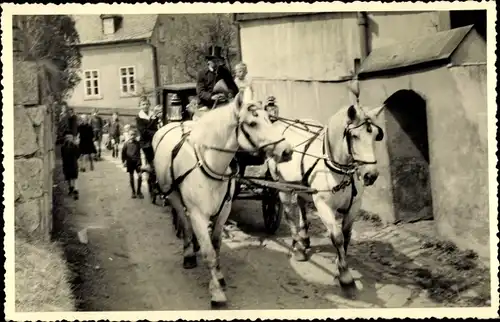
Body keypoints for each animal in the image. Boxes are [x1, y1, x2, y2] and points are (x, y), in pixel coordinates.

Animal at [151, 85, 292, 306]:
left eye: (269, 119)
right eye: (252, 123)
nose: (286, 151)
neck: (210, 163)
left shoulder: (224, 209)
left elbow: (216, 245)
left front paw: (218, 276)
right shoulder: (198, 214)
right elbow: (208, 251)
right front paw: (216, 292)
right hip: (173, 195)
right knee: (184, 222)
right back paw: (188, 253)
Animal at [268, 104, 384, 294]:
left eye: (376, 135)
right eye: (354, 136)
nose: (371, 175)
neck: (339, 170)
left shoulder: (354, 205)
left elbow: (346, 235)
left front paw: (339, 266)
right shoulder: (323, 205)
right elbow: (337, 237)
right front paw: (345, 276)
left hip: (302, 187)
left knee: (301, 205)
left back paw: (304, 239)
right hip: (282, 185)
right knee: (289, 213)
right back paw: (298, 247)